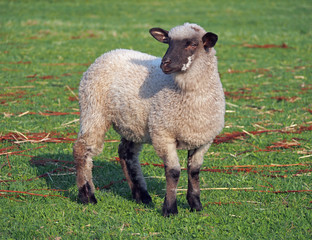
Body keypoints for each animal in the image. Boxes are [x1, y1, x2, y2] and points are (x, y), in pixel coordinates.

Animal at [73, 22, 224, 217]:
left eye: (192, 44)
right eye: (168, 42)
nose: (165, 63)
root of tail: (110, 53)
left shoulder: (203, 139)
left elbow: (194, 171)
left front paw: (196, 205)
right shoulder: (163, 135)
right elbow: (173, 172)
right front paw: (170, 209)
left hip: (132, 123)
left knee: (126, 153)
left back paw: (141, 195)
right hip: (93, 110)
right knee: (82, 149)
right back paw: (87, 196)